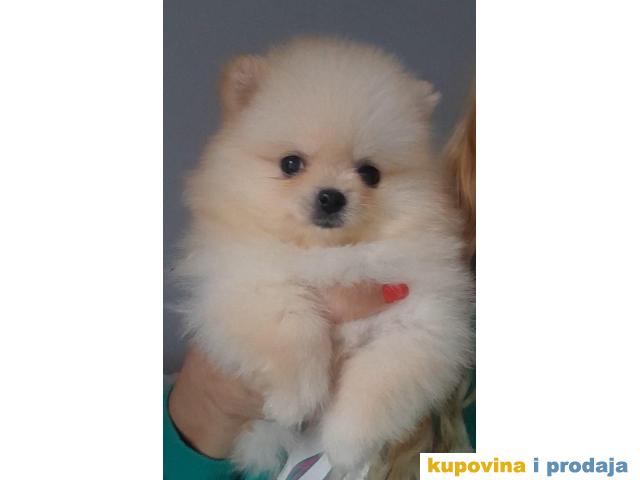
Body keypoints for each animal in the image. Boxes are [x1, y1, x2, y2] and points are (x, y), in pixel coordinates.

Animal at [177, 37, 473, 477]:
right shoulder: (242, 282)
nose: (331, 196)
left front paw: (347, 444)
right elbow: (291, 322)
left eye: (370, 173)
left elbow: (377, 381)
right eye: (290, 164)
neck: (330, 255)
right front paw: (296, 398)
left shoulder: (420, 322)